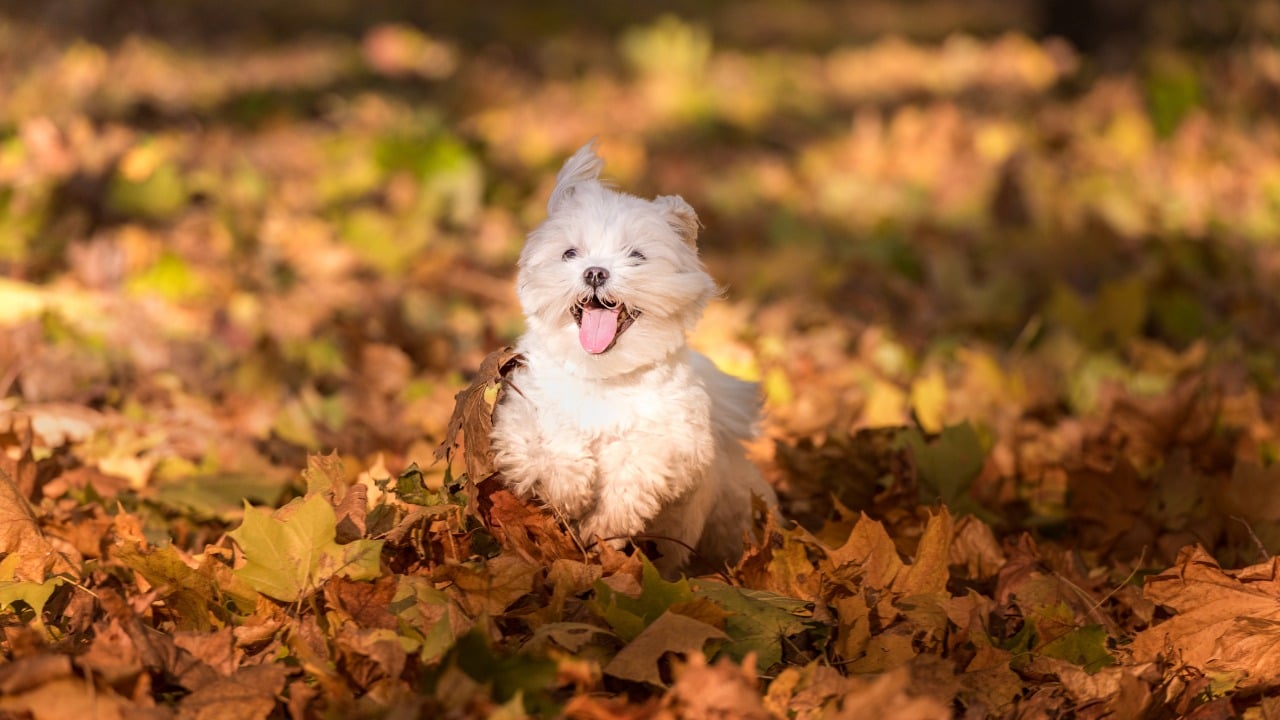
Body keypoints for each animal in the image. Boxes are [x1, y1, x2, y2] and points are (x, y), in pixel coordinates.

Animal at [488, 139, 773, 571]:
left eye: (636, 256)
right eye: (570, 253)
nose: (595, 272)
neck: (602, 375)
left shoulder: (676, 442)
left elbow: (635, 467)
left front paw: (602, 525)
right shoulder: (521, 409)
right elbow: (548, 437)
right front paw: (569, 486)